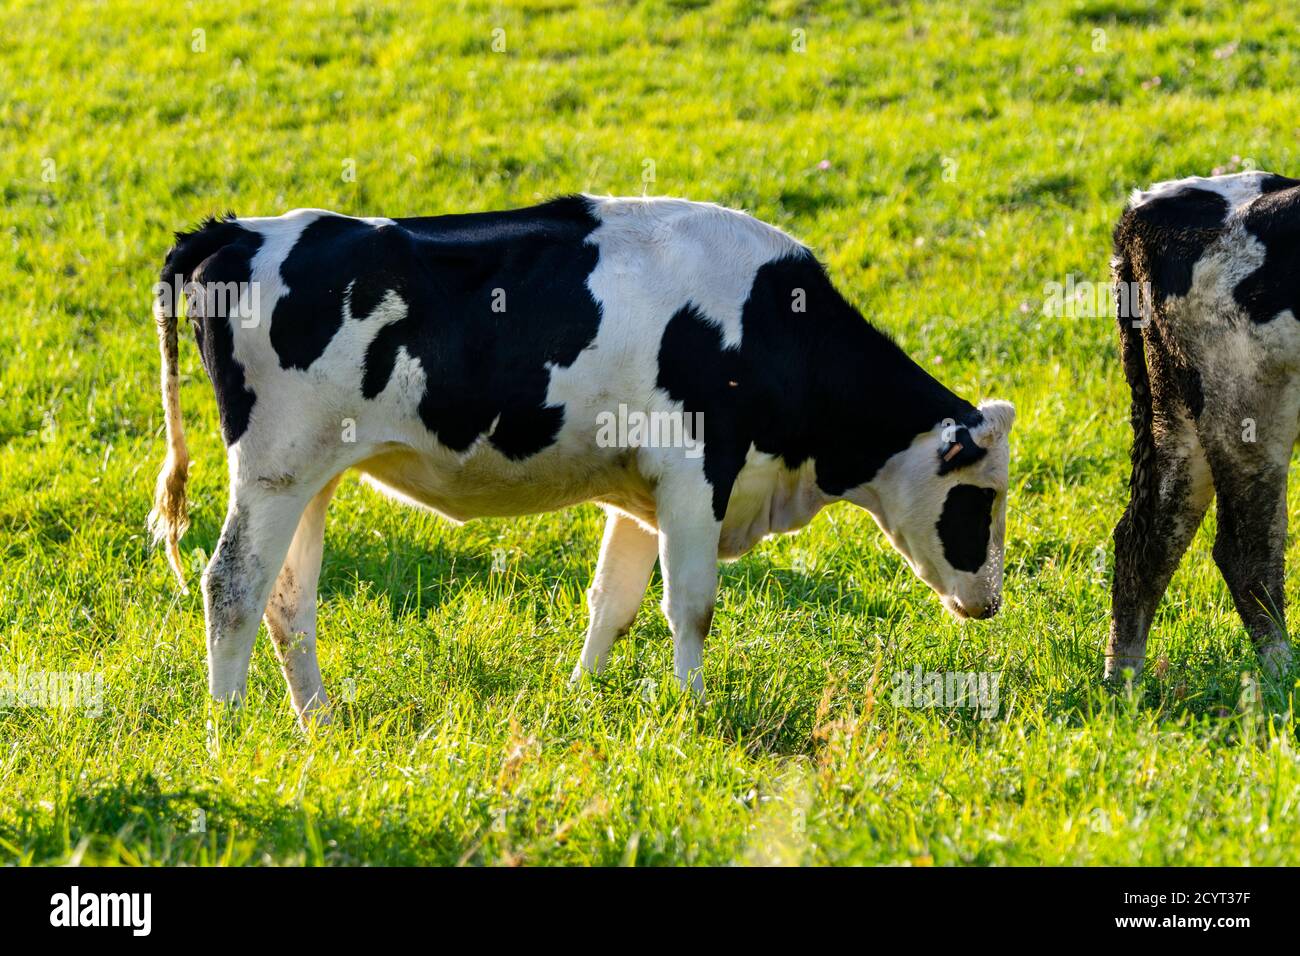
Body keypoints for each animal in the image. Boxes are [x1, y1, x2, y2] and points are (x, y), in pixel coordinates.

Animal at [148, 195, 1016, 725]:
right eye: (980, 499)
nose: (990, 603)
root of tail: (237, 231)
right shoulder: (697, 470)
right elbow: (690, 605)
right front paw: (693, 709)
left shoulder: (643, 491)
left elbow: (615, 601)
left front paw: (580, 696)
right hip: (274, 469)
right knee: (231, 586)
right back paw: (226, 728)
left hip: (311, 477)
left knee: (288, 600)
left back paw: (319, 723)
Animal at [1108, 171, 1300, 680]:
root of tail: (1141, 211)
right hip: (1248, 403)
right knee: (1243, 551)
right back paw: (1284, 679)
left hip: (1176, 412)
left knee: (1146, 541)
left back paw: (1122, 683)